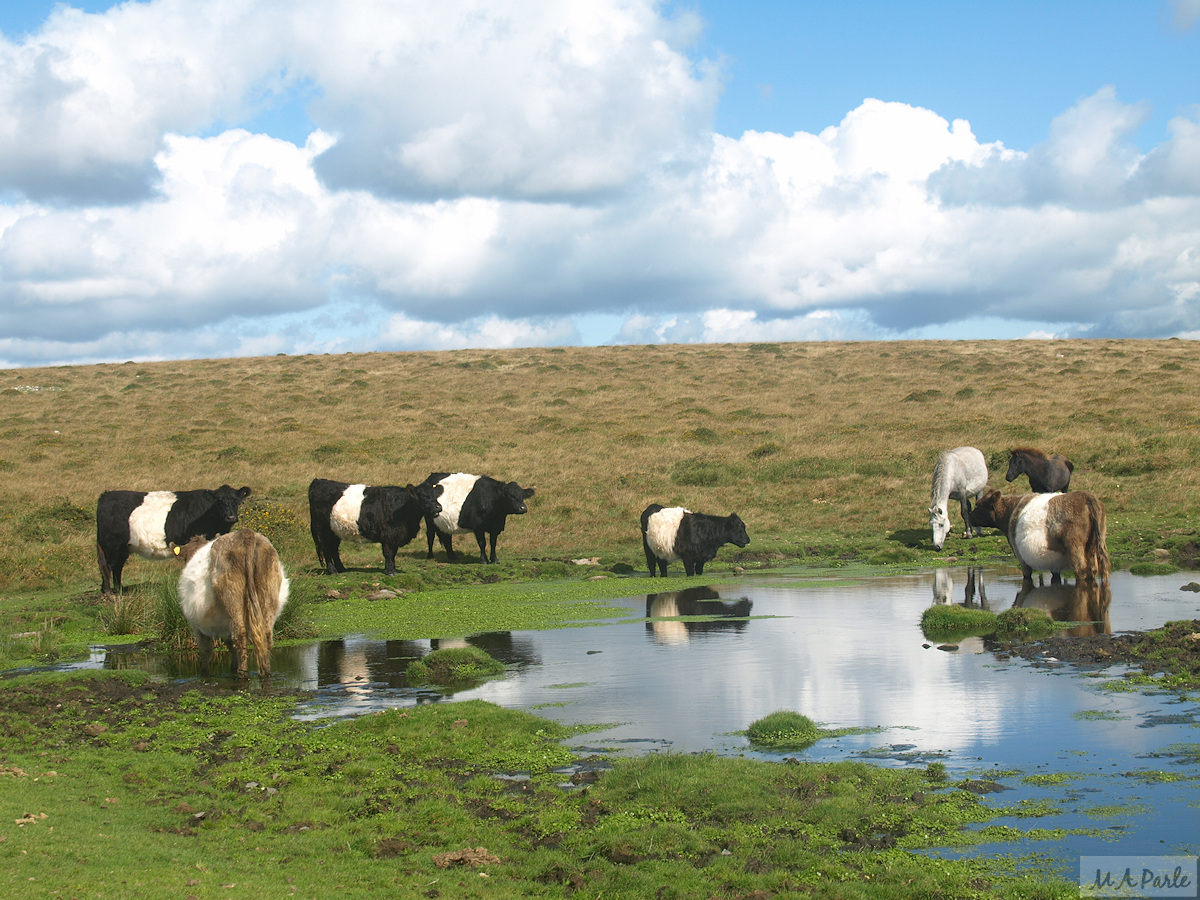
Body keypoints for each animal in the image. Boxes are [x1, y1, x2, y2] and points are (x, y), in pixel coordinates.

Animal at [95, 482, 250, 595]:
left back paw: (119, 589)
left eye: (236, 501)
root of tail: (106, 495)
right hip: (112, 545)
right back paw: (109, 591)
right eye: (219, 502)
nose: (231, 517)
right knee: (108, 565)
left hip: (122, 547)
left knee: (117, 566)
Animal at [307, 480, 444, 578]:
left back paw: (341, 568)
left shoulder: (396, 535)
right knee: (326, 549)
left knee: (334, 549)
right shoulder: (388, 534)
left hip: (335, 531)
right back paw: (332, 570)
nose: (438, 507)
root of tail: (319, 481)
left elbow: (393, 553)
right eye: (423, 496)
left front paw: (393, 569)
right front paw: (390, 571)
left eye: (435, 495)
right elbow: (388, 553)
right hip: (324, 529)